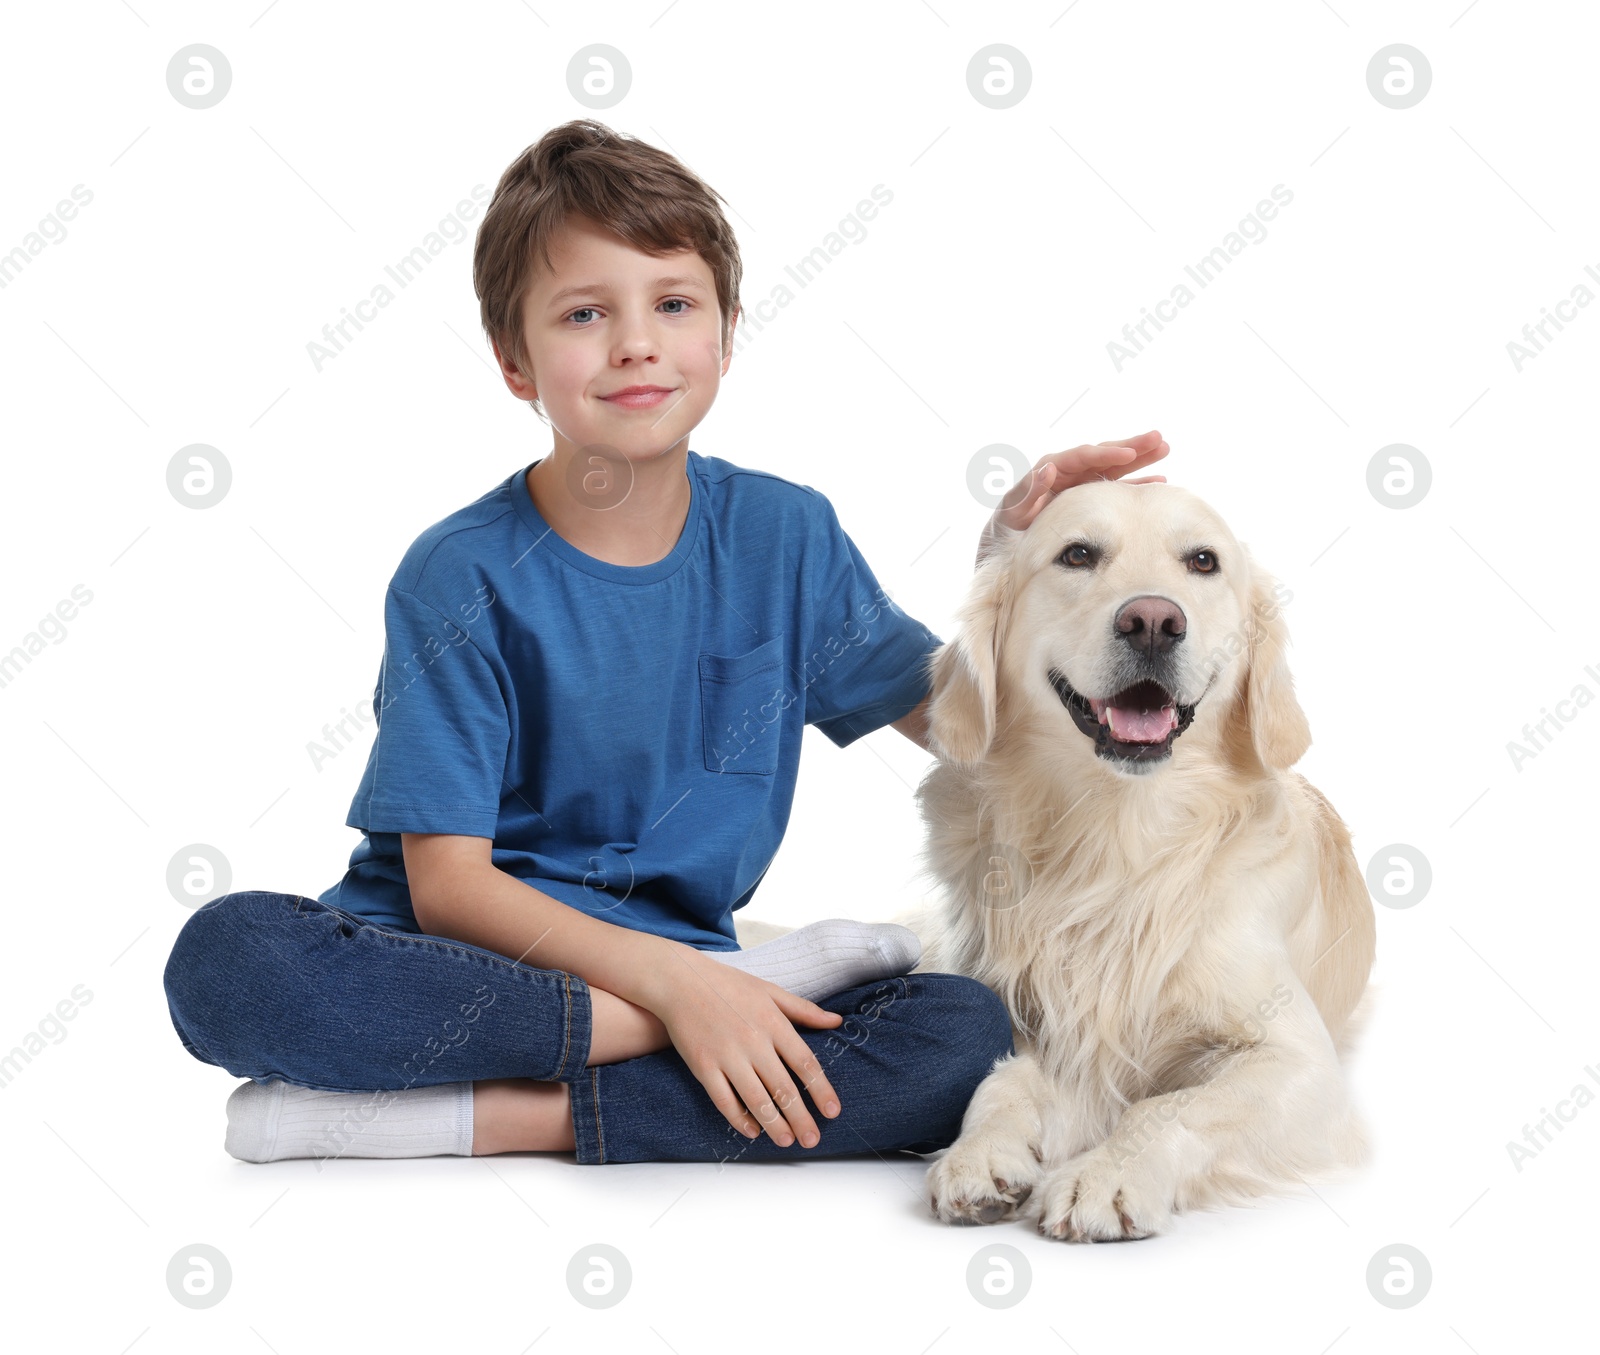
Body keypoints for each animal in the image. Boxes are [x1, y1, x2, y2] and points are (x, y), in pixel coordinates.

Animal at [902, 483, 1376, 1247]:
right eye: (1077, 555)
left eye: (1203, 561)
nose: (1153, 621)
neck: (1115, 836)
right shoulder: (1033, 1021)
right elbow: (1000, 1081)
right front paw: (982, 1153)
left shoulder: (1300, 1064)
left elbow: (1170, 1106)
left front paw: (1106, 1175)